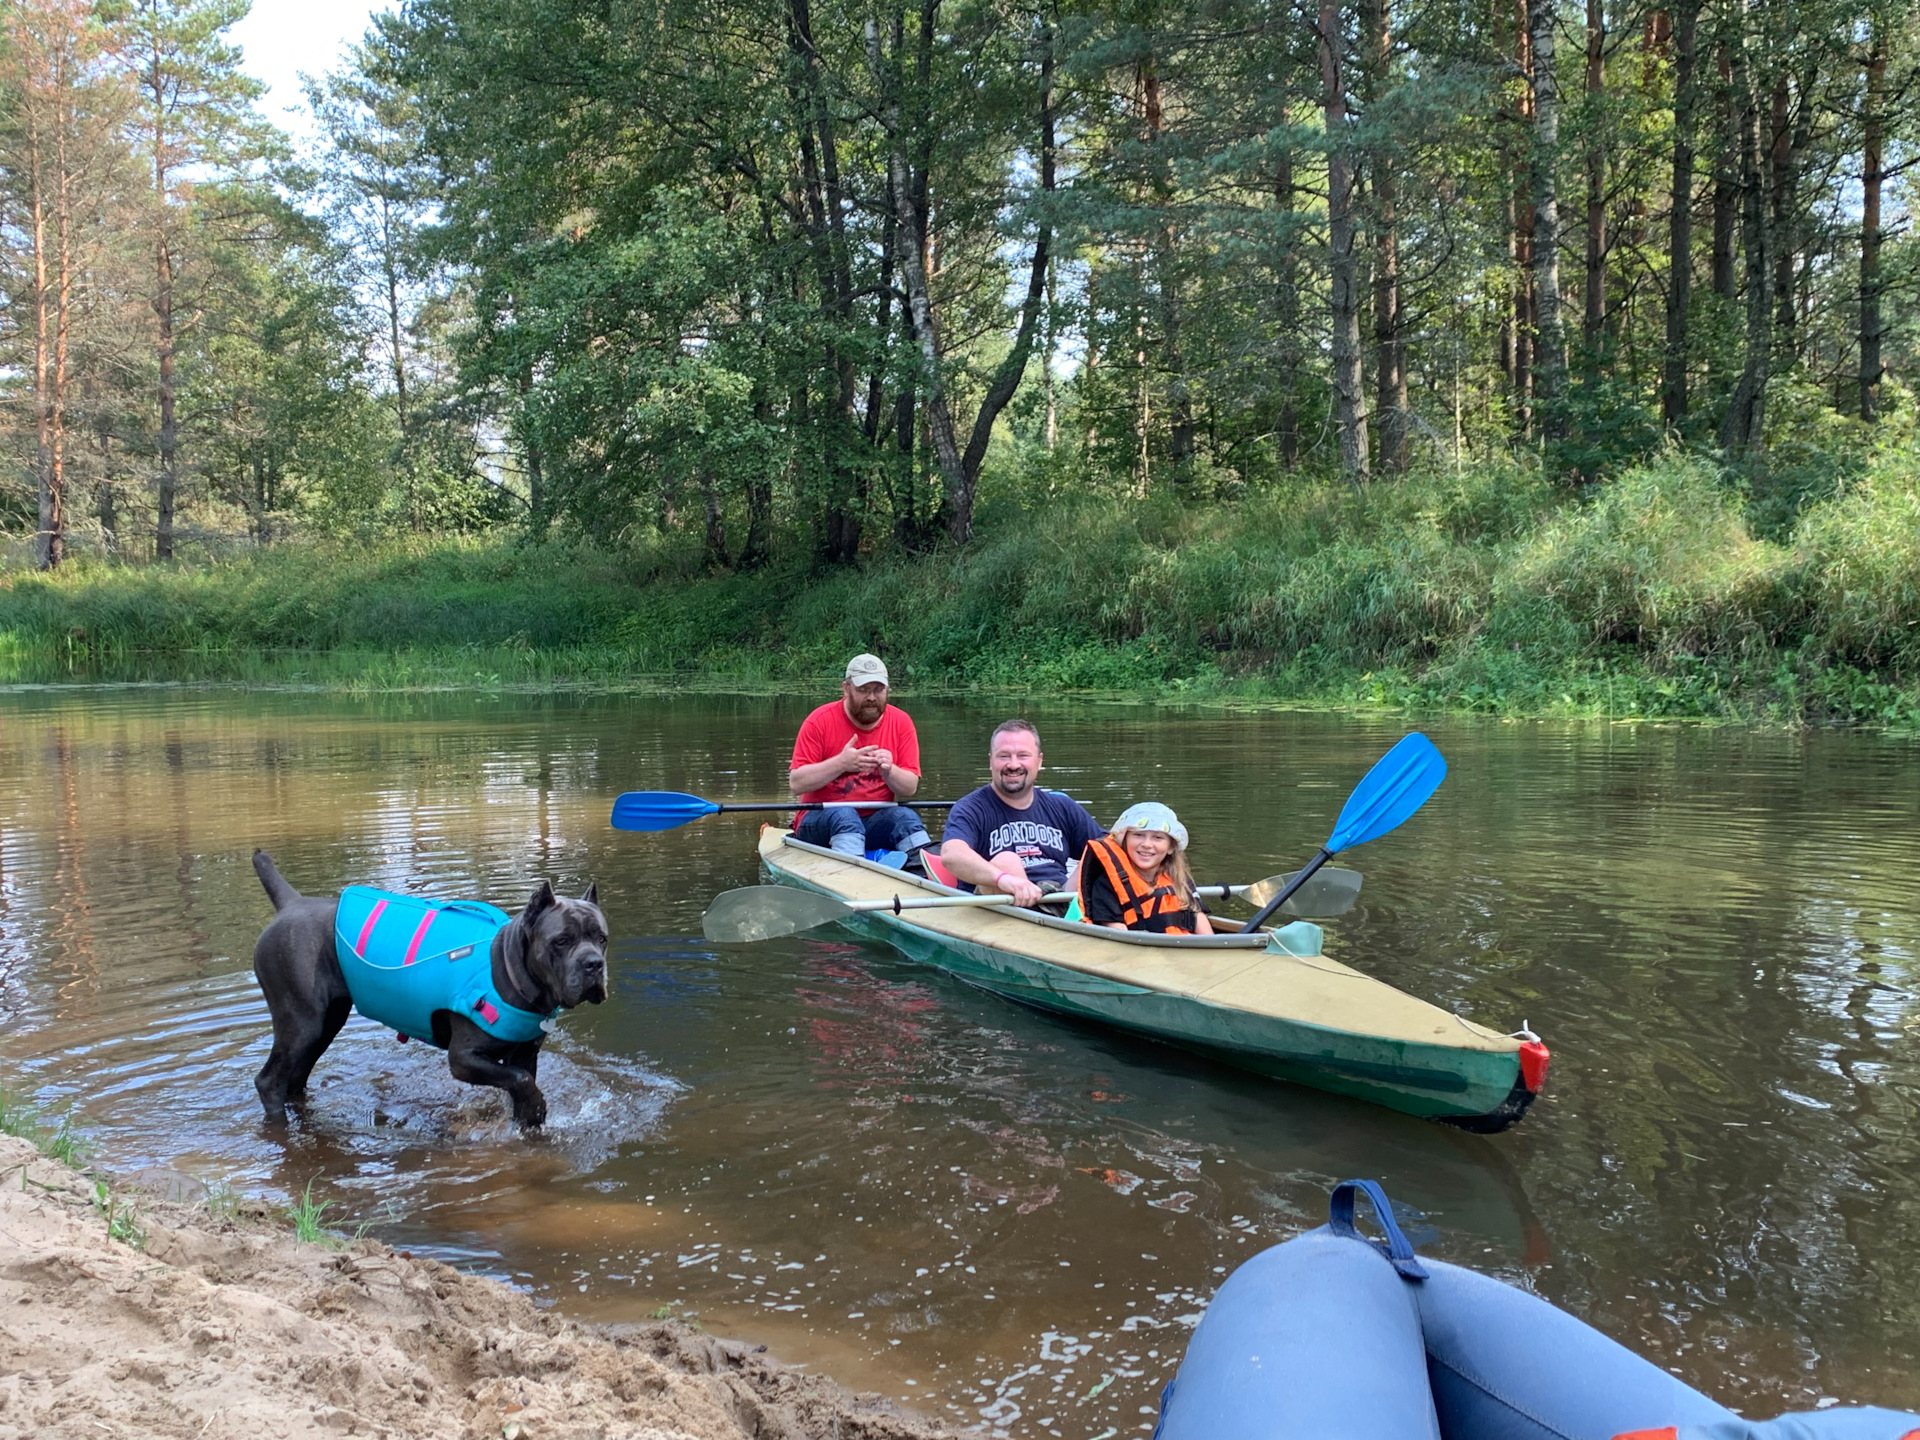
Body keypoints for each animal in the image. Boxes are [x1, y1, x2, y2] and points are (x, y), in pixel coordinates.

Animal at [247, 852, 606, 1136]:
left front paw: (528, 1120)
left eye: (601, 938)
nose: (594, 964)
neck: (508, 968)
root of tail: (291, 902)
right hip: (301, 1023)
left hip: (325, 1025)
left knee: (295, 1078)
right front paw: (535, 1108)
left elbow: (522, 1081)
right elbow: (519, 1080)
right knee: (269, 1081)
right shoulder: (463, 1058)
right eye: (561, 941)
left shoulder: (525, 1054)